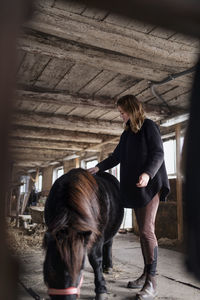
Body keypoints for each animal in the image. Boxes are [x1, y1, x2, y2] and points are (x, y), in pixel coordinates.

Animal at [42, 168, 123, 298]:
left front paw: (101, 289)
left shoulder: (98, 236)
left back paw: (109, 266)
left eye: (81, 268)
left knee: (109, 244)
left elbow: (95, 260)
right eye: (52, 266)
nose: (67, 298)